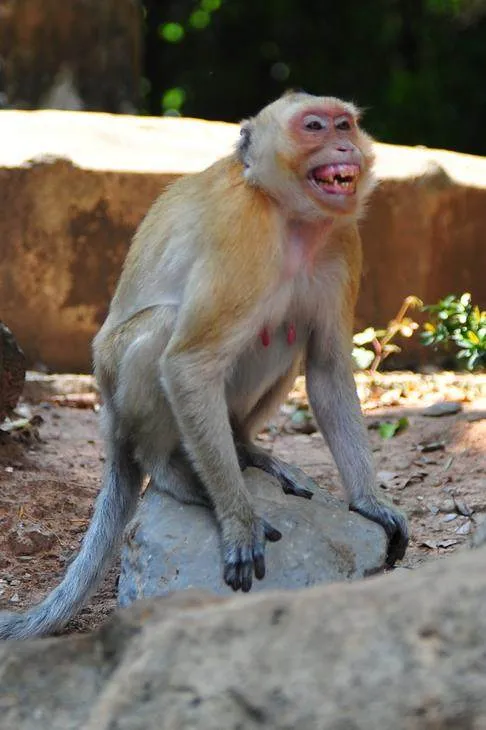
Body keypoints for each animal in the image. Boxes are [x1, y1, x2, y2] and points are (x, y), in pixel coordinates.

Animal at [0, 91, 408, 640]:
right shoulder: (243, 232)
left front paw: (368, 501)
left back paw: (244, 446)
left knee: (286, 328)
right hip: (117, 390)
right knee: (163, 334)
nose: (345, 145)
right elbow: (189, 363)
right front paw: (237, 520)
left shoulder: (343, 243)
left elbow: (326, 368)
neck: (290, 217)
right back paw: (171, 470)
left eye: (344, 124)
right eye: (314, 127)